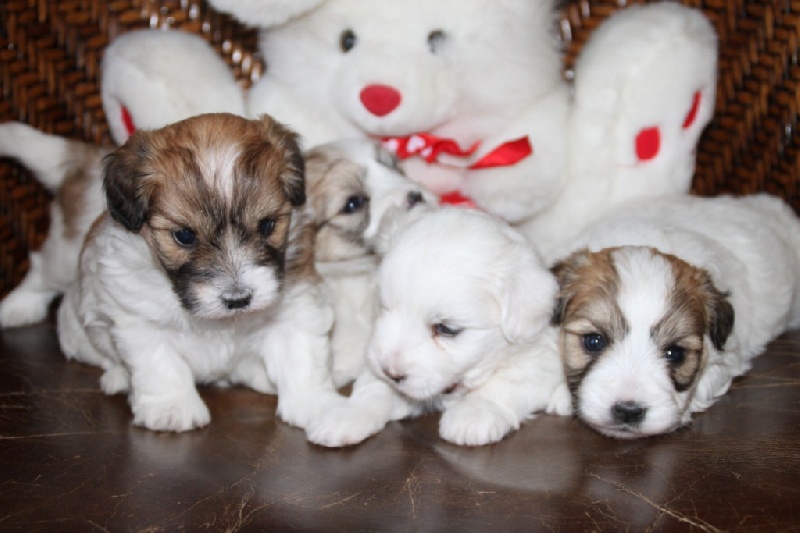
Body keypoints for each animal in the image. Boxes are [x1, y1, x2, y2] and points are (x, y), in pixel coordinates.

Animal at [57, 113, 340, 432]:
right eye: (184, 236)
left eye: (267, 225)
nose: (238, 299)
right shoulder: (140, 320)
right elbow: (160, 365)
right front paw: (172, 409)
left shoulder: (295, 307)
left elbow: (302, 358)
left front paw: (318, 407)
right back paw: (117, 377)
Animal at [304, 206, 568, 446]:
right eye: (384, 307)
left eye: (447, 329)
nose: (391, 372)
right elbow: (372, 388)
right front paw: (348, 415)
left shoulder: (541, 361)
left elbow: (507, 383)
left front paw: (474, 412)